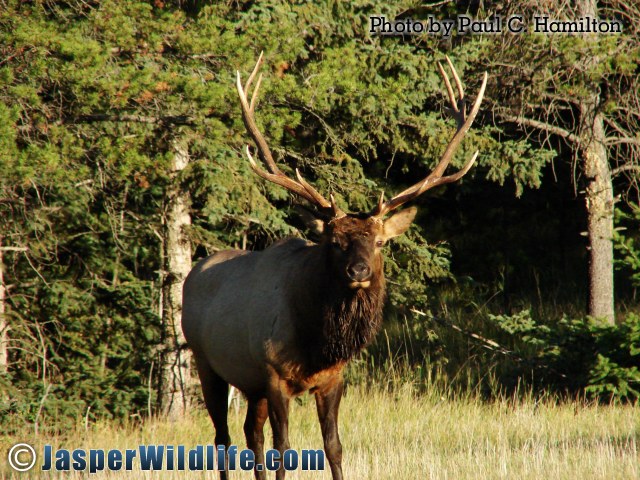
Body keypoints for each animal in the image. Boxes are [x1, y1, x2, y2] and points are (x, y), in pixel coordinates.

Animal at [180, 53, 484, 480]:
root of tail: (192, 273)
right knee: (222, 438)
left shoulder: (333, 379)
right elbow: (283, 448)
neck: (318, 343)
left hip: (249, 383)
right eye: (335, 242)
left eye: (379, 242)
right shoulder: (274, 375)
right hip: (206, 362)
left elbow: (334, 446)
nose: (359, 272)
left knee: (250, 434)